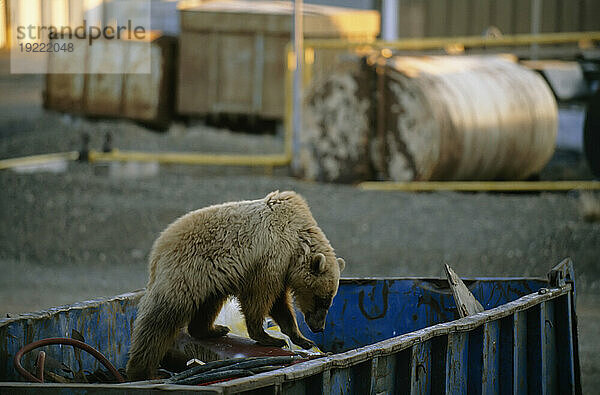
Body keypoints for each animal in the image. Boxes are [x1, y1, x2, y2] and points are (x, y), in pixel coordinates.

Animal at [125, 190, 346, 382]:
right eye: (323, 299)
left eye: (329, 300)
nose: (318, 327)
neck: (297, 239)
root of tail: (158, 247)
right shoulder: (270, 257)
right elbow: (259, 297)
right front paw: (271, 338)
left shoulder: (281, 268)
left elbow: (279, 303)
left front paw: (302, 339)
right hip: (186, 273)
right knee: (160, 319)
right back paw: (141, 370)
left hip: (211, 279)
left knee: (208, 304)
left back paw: (213, 329)